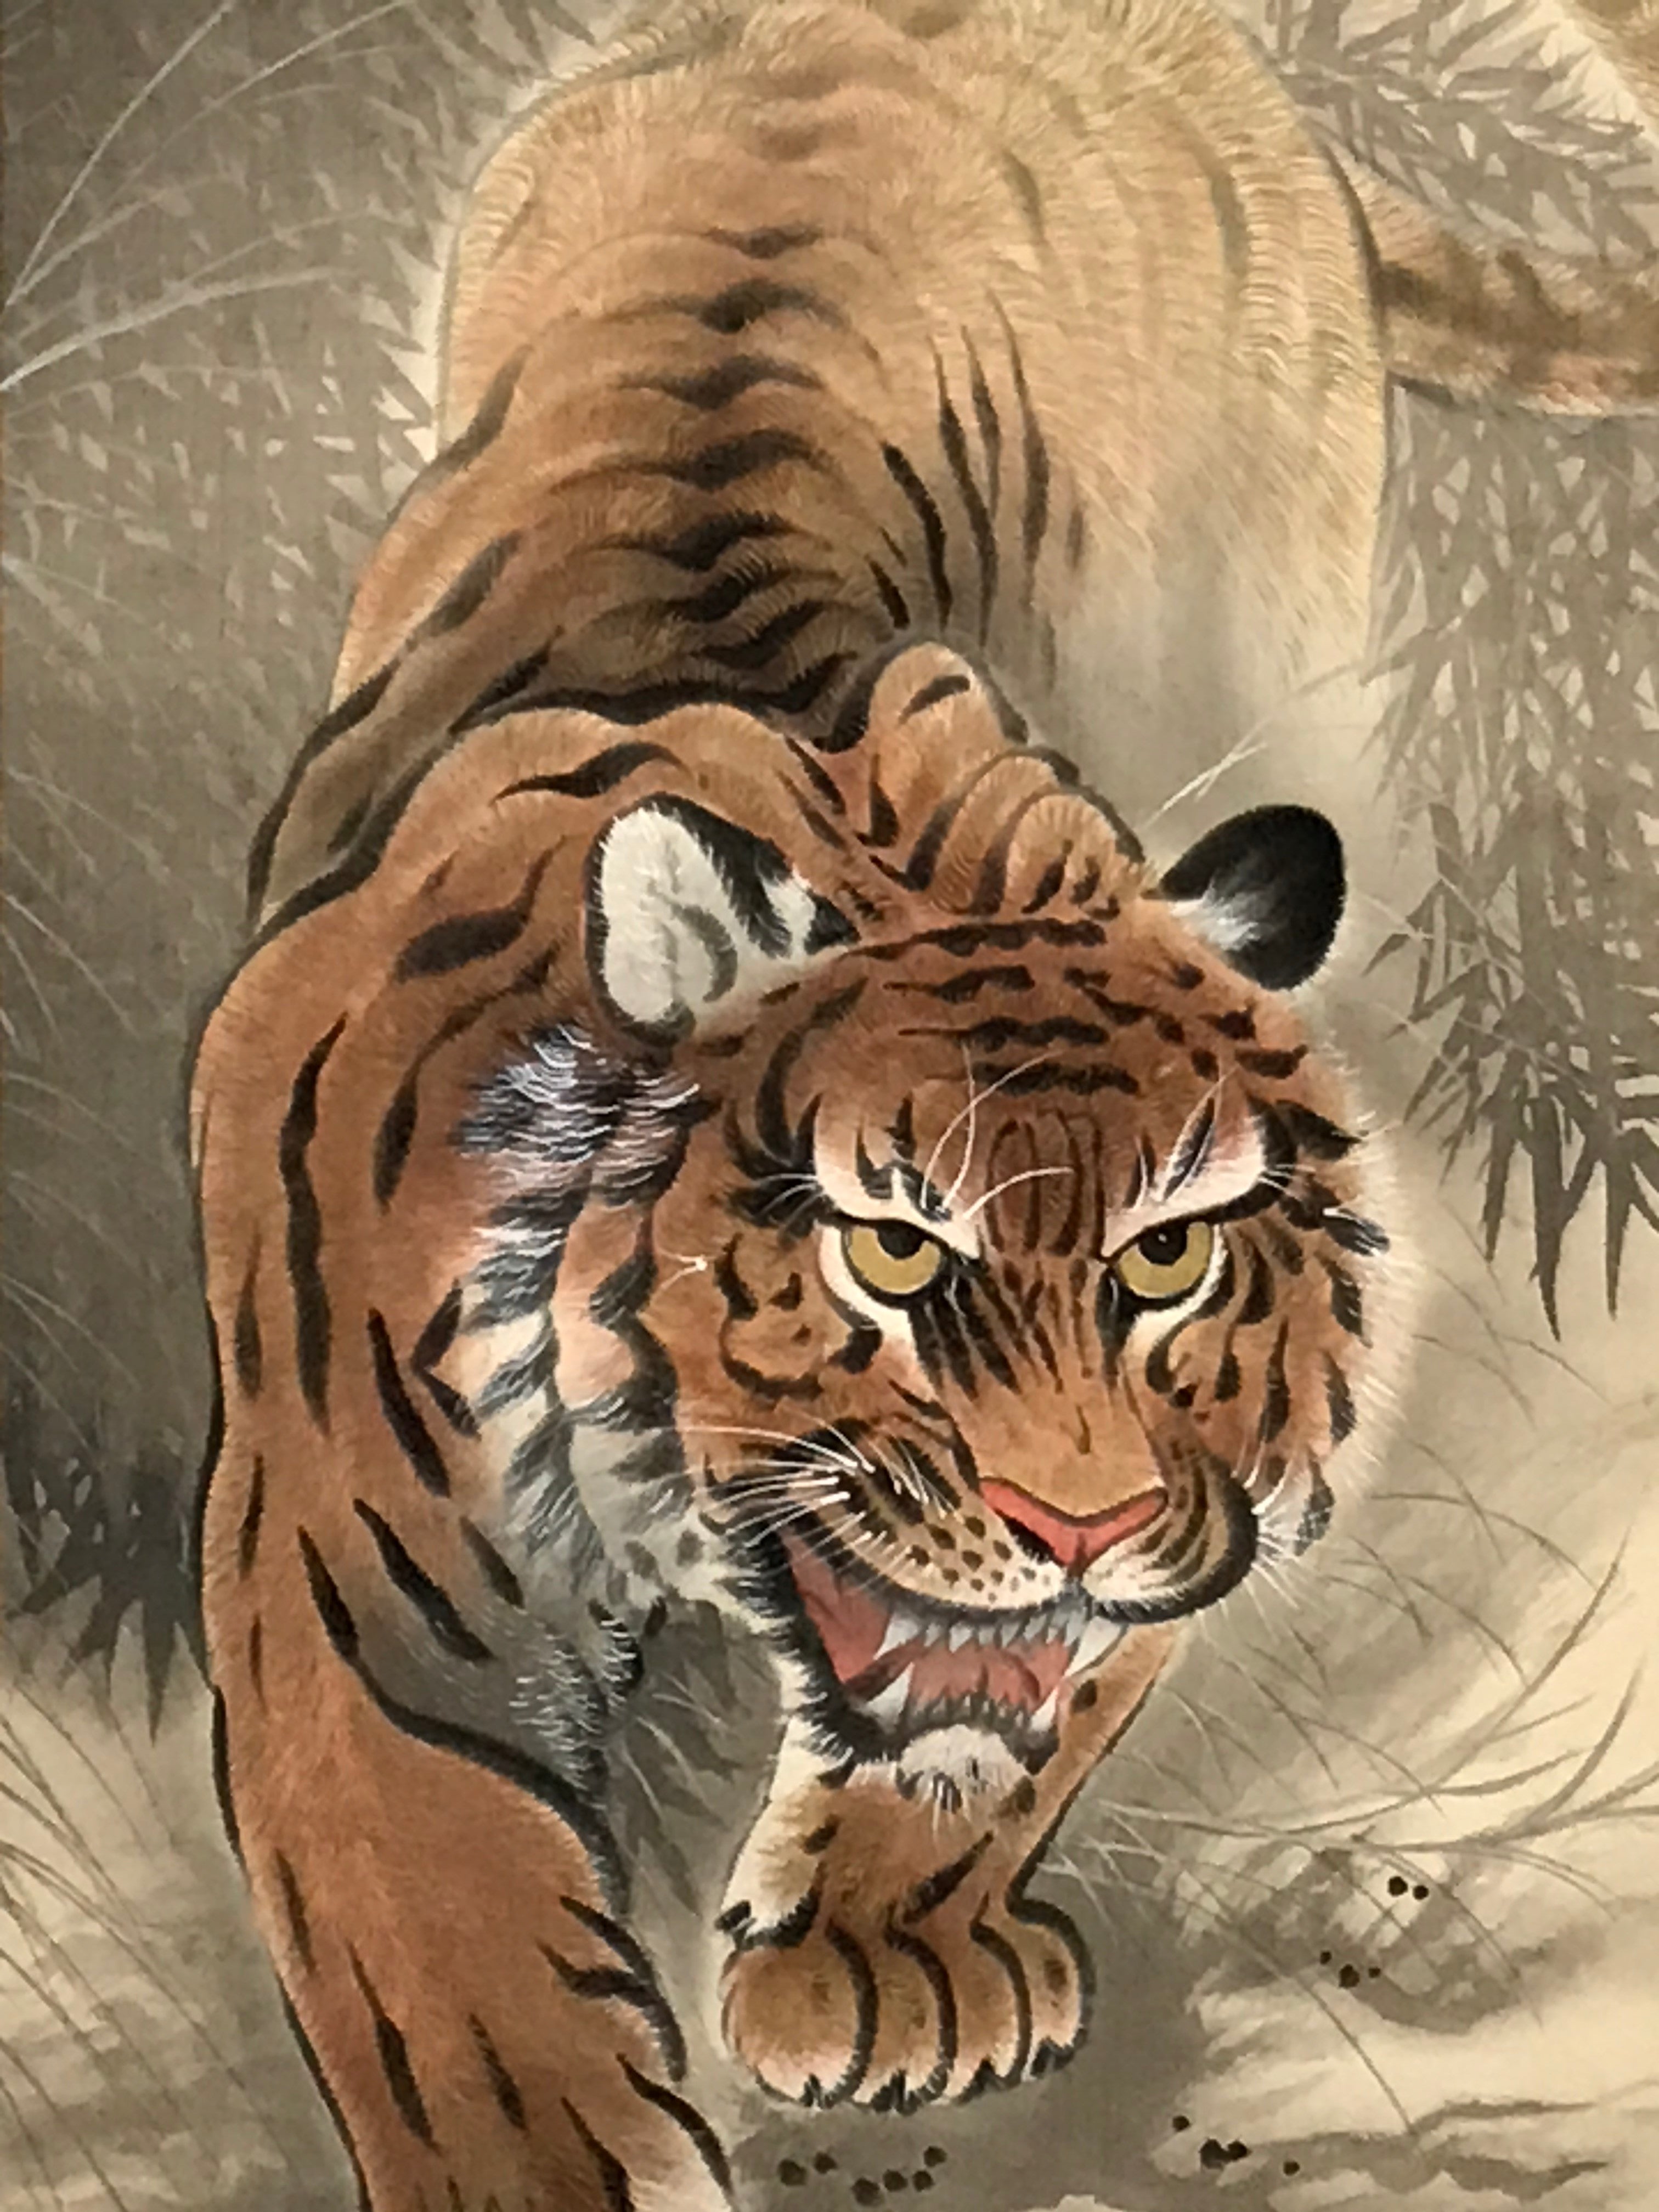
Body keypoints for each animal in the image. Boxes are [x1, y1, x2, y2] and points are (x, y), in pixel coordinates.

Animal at [189, 1, 1659, 2206]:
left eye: (1168, 1255)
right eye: (888, 1245)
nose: (1081, 1516)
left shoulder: (1197, 1489)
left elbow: (1013, 1721)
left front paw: (877, 1968)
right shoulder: (334, 1571)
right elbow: (440, 1948)